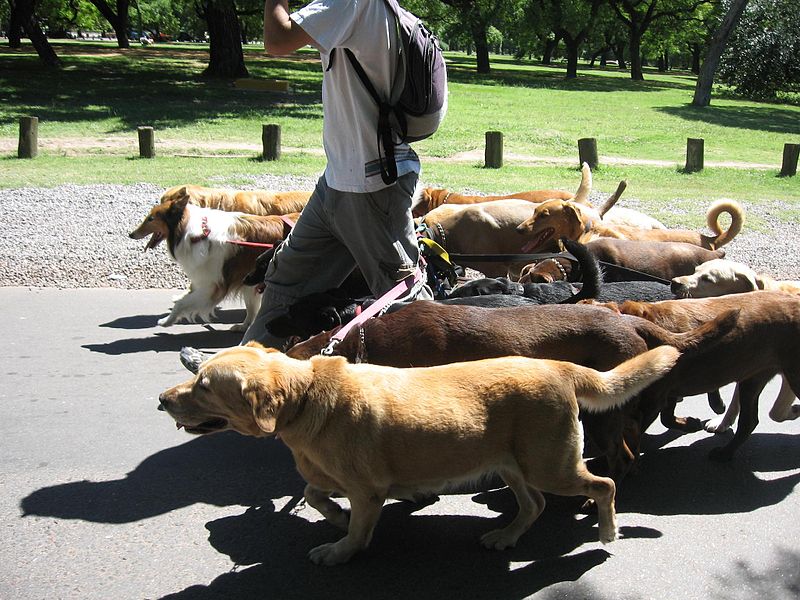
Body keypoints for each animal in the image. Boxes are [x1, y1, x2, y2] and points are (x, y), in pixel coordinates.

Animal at [158, 342, 680, 564]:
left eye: (204, 386)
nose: (162, 400)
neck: (305, 396)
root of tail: (559, 366)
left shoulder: (366, 492)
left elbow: (355, 530)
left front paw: (340, 549)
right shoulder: (336, 479)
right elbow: (313, 493)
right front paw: (337, 518)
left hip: (551, 466)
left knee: (604, 485)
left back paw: (608, 531)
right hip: (514, 467)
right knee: (534, 505)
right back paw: (506, 536)